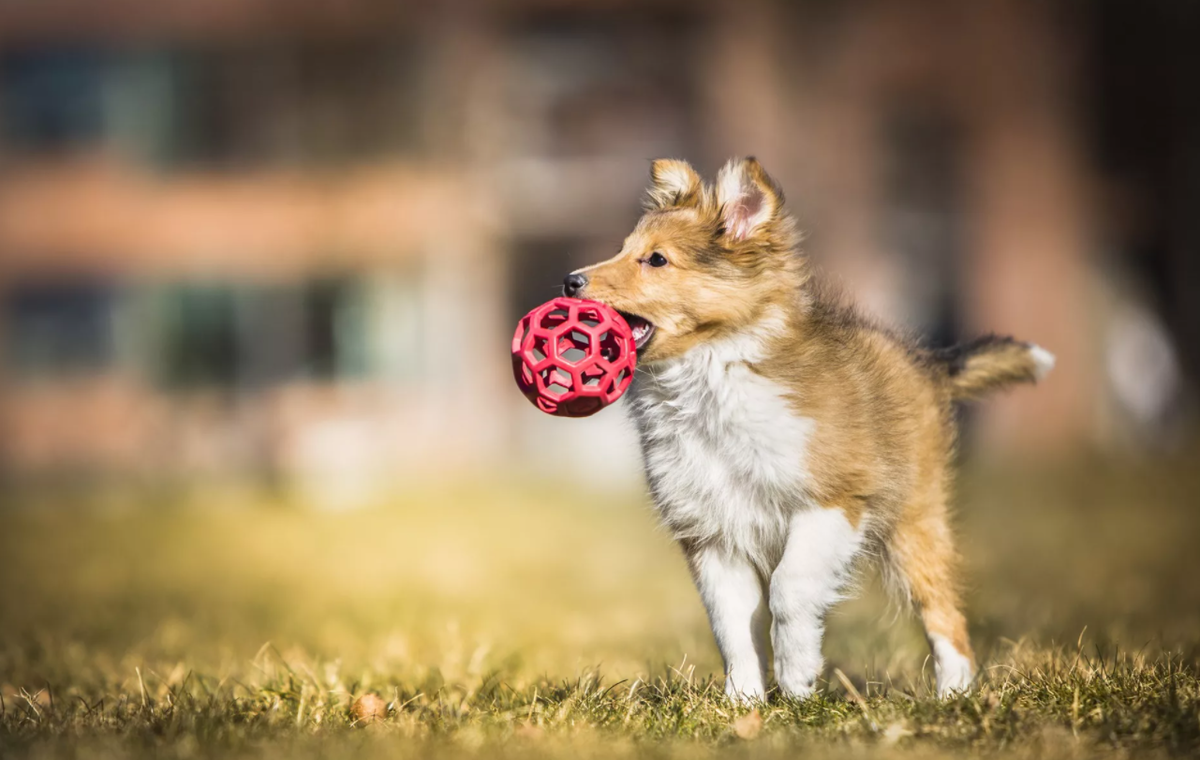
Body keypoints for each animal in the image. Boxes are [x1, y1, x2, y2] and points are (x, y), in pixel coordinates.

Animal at [559, 157, 1051, 701]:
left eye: (657, 260)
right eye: (624, 249)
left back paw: (955, 695)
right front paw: (743, 701)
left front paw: (797, 679)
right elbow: (731, 623)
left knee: (944, 613)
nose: (569, 281)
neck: (714, 374)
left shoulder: (832, 501)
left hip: (914, 523)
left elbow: (789, 590)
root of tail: (927, 364)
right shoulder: (711, 531)